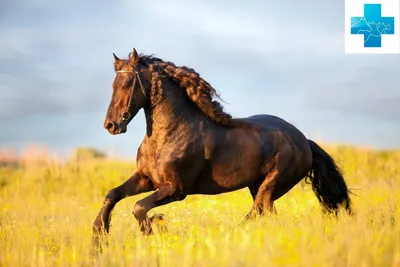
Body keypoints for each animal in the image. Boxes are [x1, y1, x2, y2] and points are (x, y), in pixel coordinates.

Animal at [92, 46, 352, 245]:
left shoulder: (176, 189)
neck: (169, 134)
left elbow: (138, 207)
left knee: (257, 212)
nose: (111, 125)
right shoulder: (146, 179)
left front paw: (155, 228)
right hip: (257, 186)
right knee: (266, 214)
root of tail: (304, 140)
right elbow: (112, 195)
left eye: (127, 84)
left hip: (271, 185)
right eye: (113, 85)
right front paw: (99, 236)